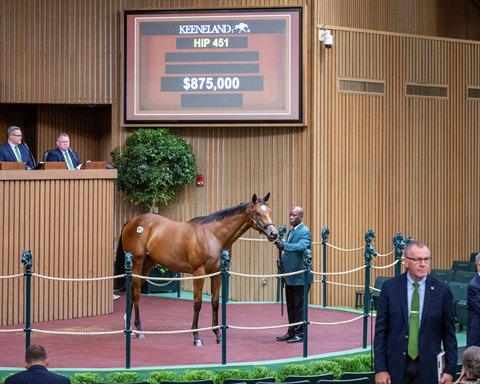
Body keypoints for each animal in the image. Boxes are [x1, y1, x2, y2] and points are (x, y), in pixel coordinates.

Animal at [115, 194, 278, 346]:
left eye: (270, 211)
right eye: (257, 213)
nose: (274, 234)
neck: (213, 236)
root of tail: (132, 222)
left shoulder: (217, 274)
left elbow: (214, 302)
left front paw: (218, 335)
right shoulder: (199, 274)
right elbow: (197, 303)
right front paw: (196, 337)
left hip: (147, 266)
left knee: (132, 291)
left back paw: (129, 327)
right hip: (137, 263)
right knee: (136, 294)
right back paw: (139, 329)